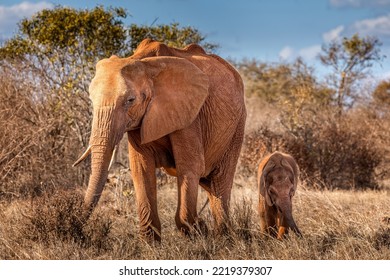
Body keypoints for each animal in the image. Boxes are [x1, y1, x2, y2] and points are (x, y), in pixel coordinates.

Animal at [74, 38, 245, 241]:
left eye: (130, 100)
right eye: (91, 99)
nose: (77, 231)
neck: (144, 63)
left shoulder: (189, 115)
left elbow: (190, 166)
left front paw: (199, 230)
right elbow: (141, 169)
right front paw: (151, 244)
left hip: (237, 126)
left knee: (219, 181)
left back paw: (224, 239)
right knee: (209, 184)